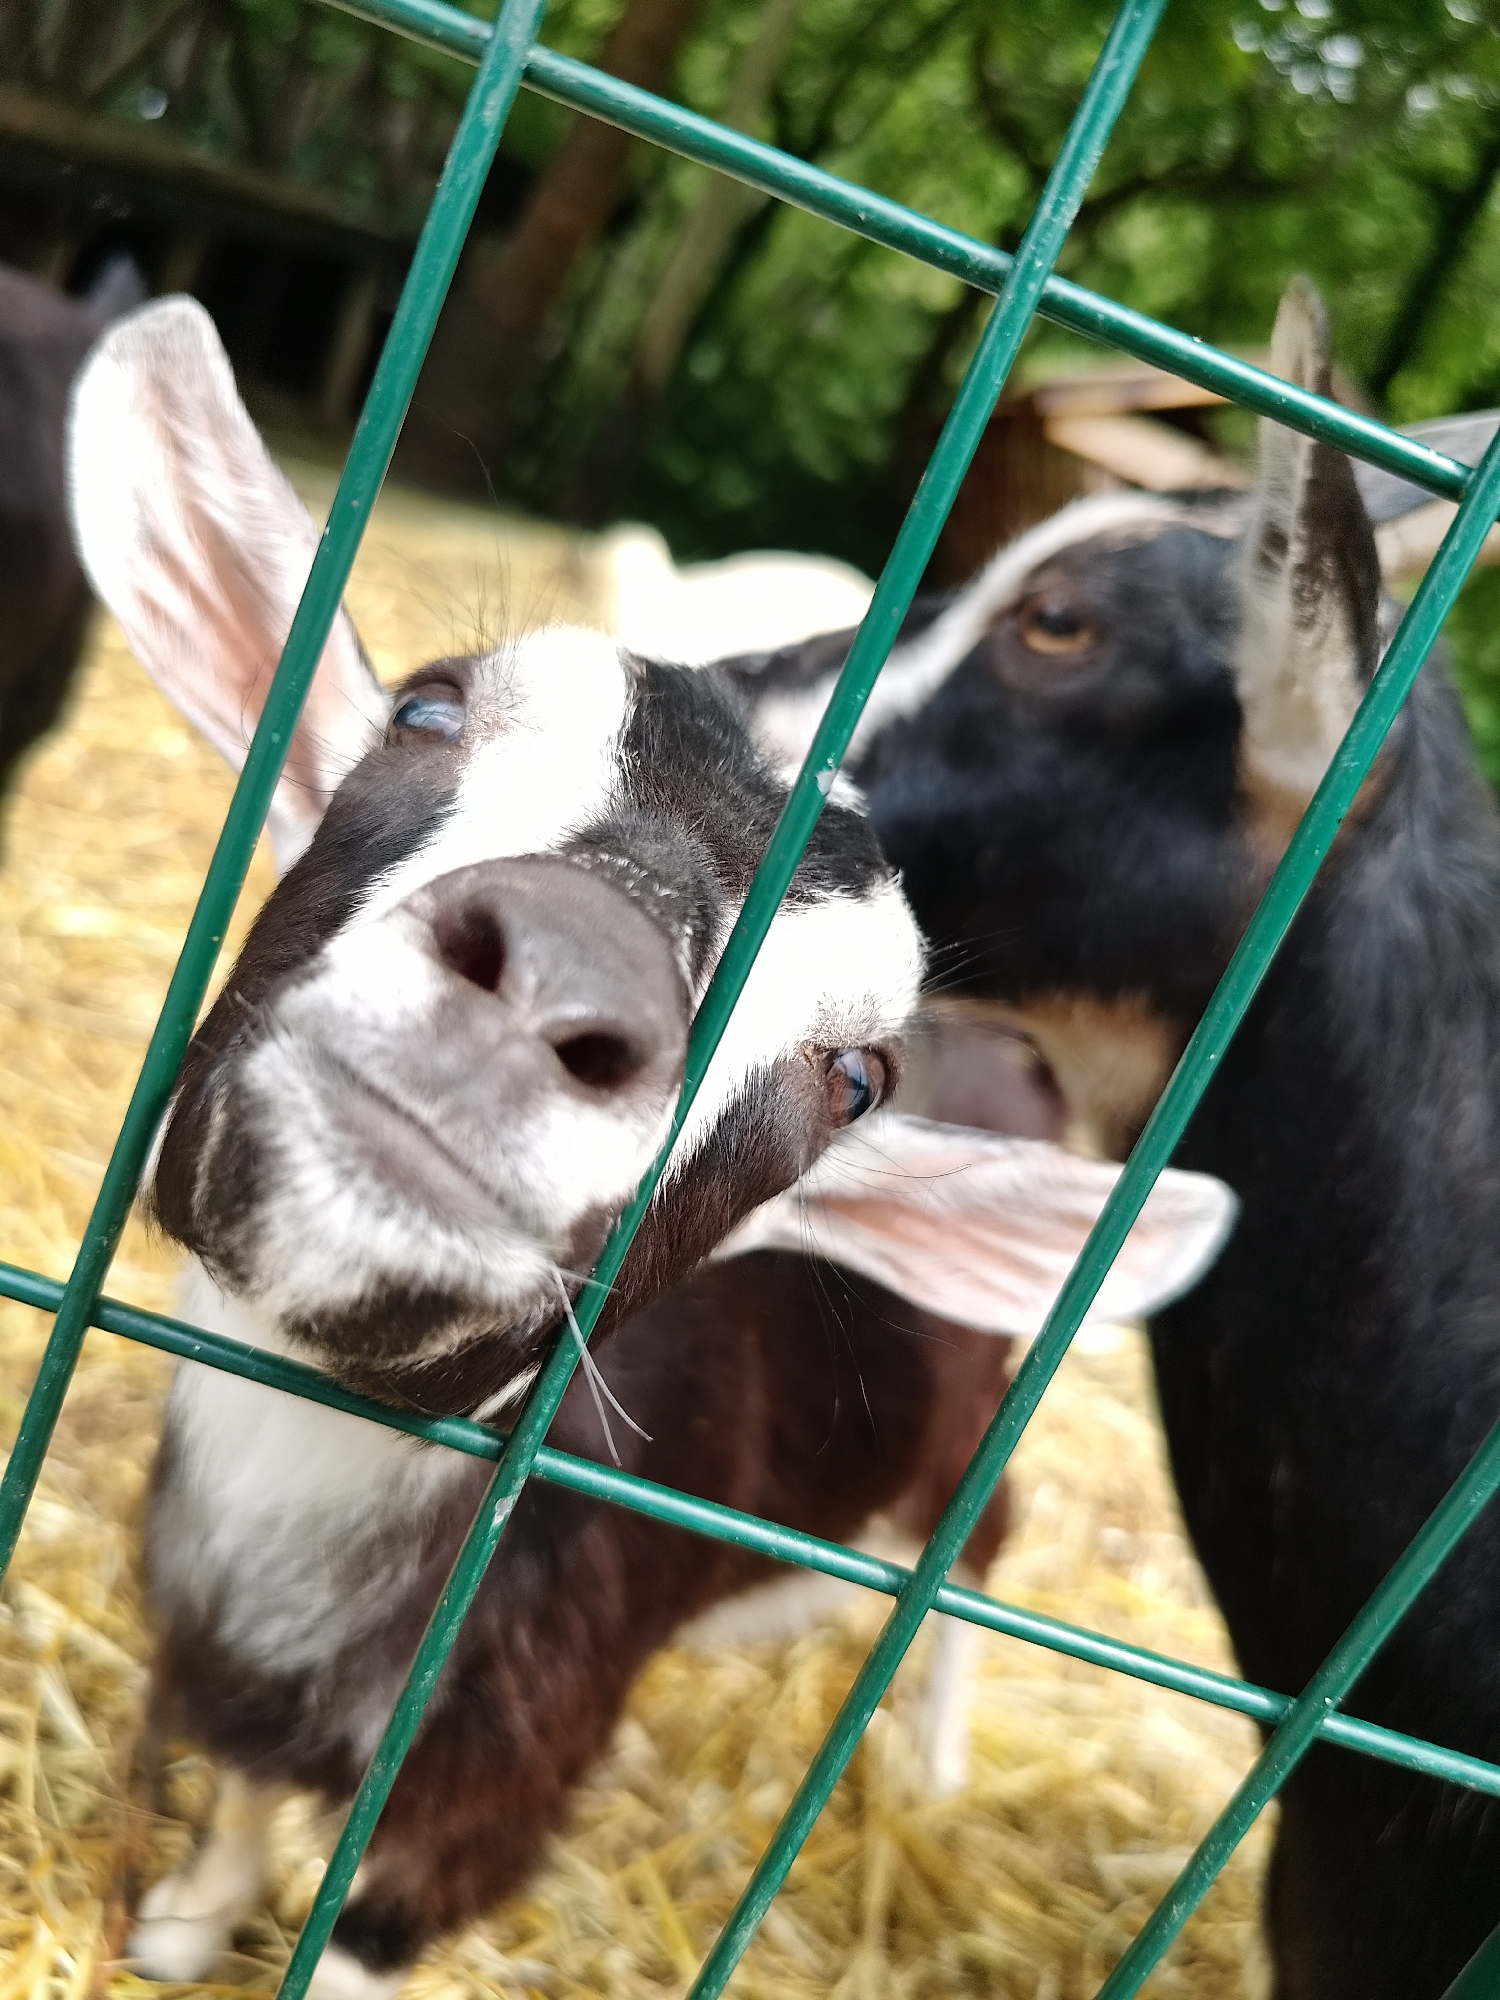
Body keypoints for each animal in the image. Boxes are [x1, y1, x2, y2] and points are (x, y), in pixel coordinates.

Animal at [66, 298, 1236, 1998]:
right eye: (424, 708)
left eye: (853, 1078)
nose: (567, 971)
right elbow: (233, 1805)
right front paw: (179, 1923)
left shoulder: (478, 1800)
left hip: (971, 1415)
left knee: (975, 1541)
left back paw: (934, 1761)